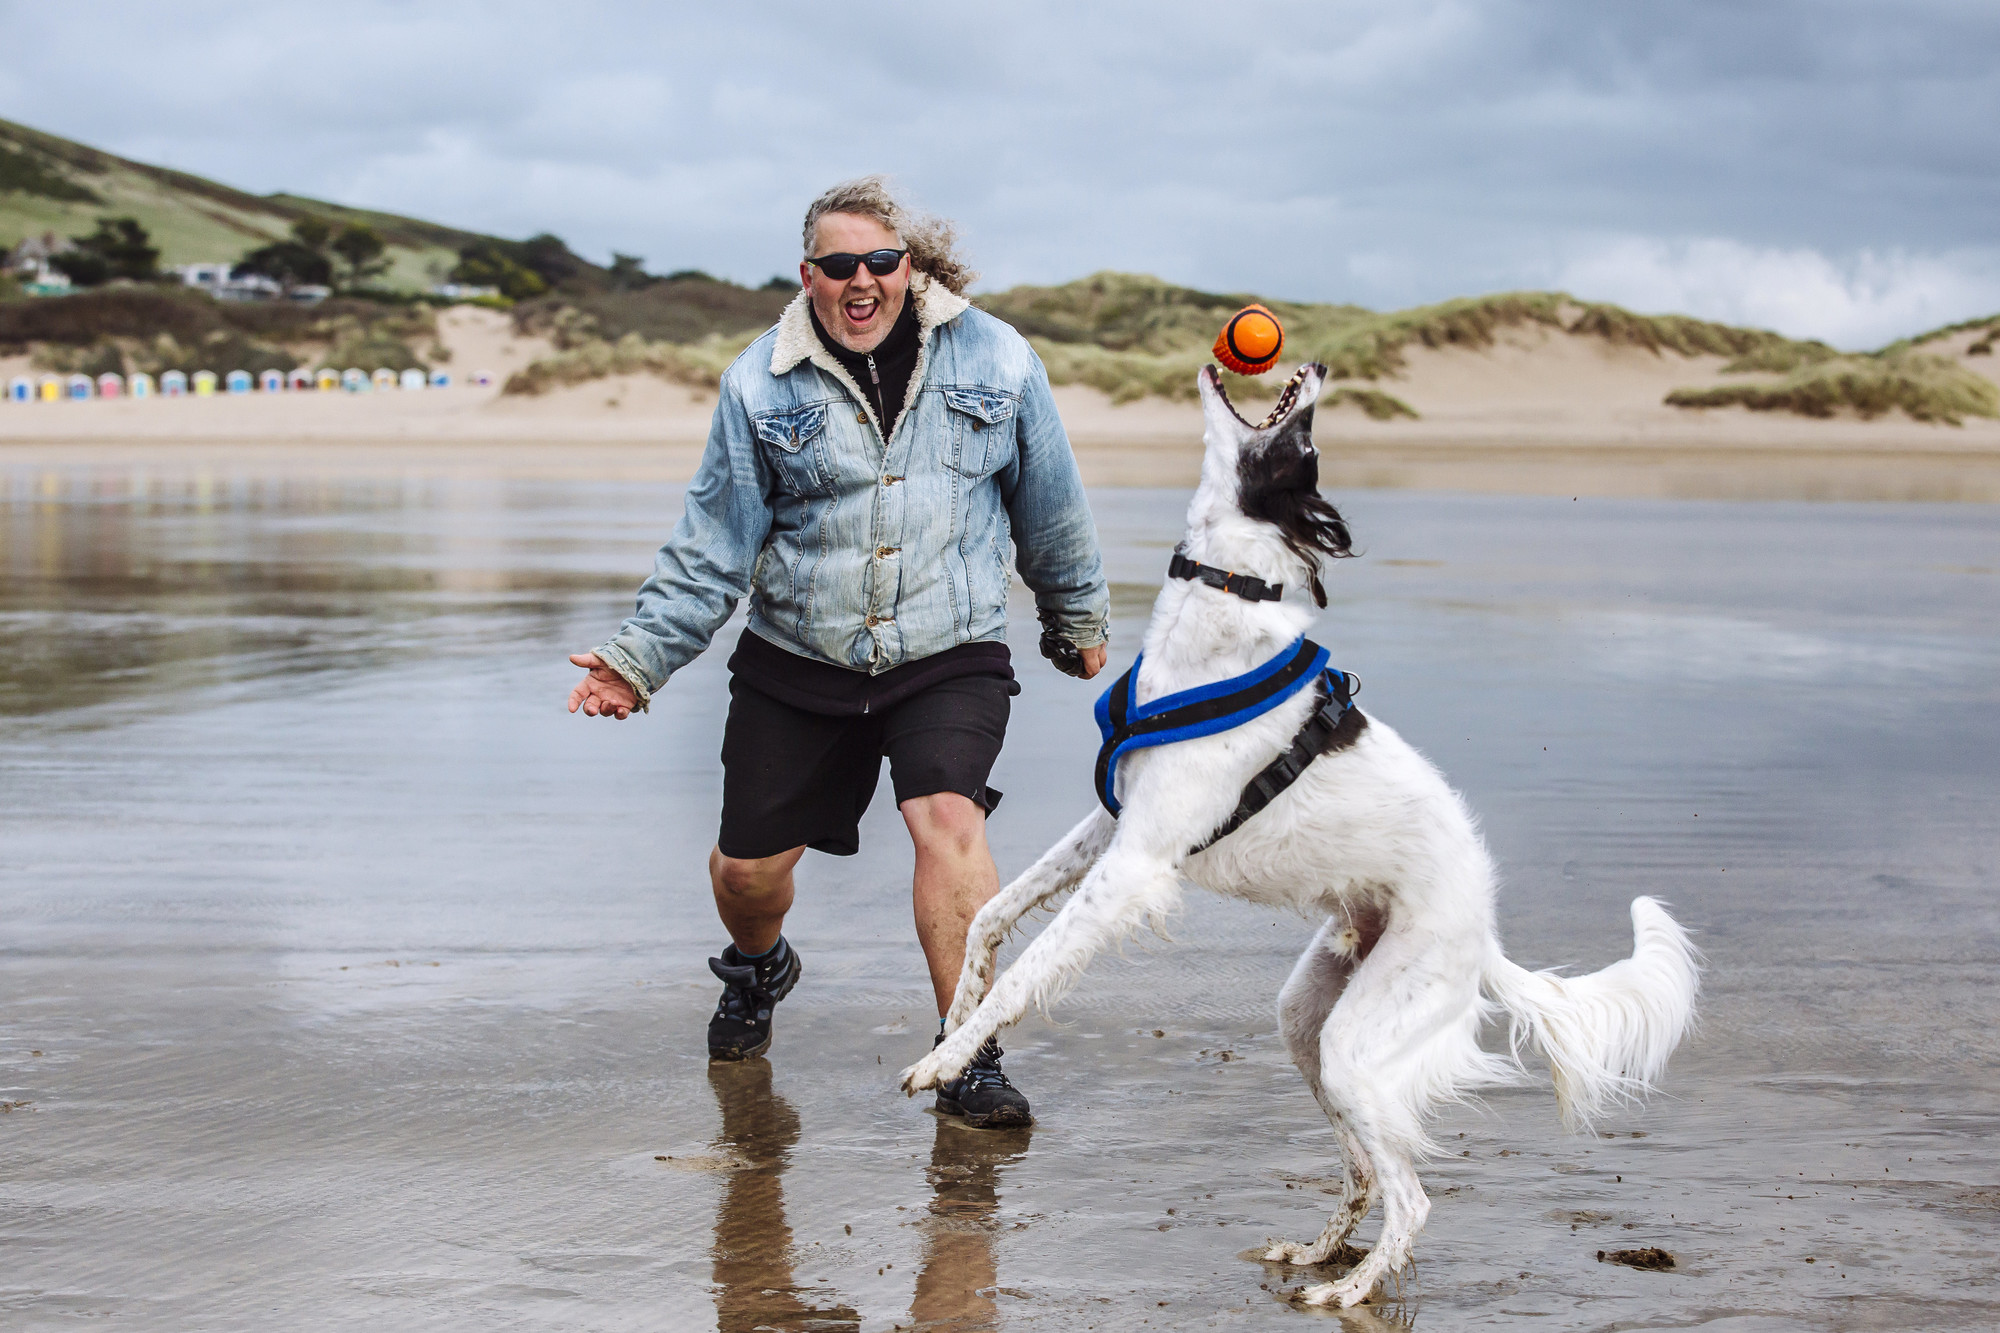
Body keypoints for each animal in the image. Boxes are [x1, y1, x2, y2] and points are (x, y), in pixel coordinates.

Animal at [908, 358, 1704, 1304]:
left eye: (1304, 445)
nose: (1318, 366)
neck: (1217, 615)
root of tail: (1485, 939)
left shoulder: (1136, 861)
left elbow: (1028, 973)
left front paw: (947, 1061)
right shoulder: (1114, 822)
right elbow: (990, 918)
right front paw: (958, 1016)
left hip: (1359, 1045)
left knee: (1413, 1194)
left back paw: (1350, 1291)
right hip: (1308, 1021)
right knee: (1363, 1169)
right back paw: (1320, 1251)